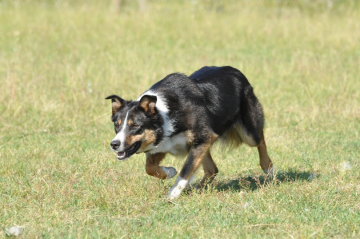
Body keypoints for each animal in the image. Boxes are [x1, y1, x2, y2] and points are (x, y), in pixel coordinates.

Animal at [105, 66, 274, 200]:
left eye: (135, 126)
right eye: (116, 126)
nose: (114, 144)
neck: (166, 113)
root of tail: (235, 71)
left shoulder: (204, 136)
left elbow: (186, 169)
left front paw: (172, 194)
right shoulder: (163, 144)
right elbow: (149, 168)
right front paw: (169, 172)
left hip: (247, 131)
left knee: (260, 140)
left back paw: (268, 169)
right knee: (212, 169)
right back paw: (197, 188)